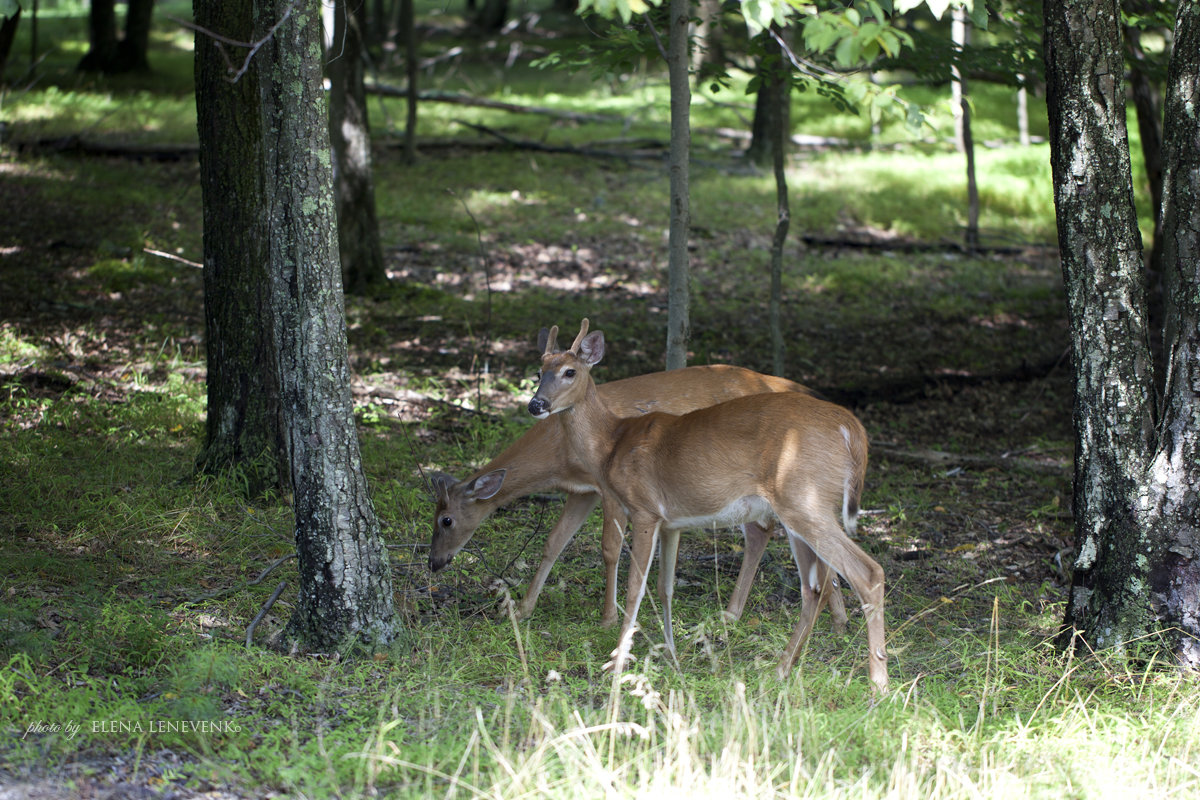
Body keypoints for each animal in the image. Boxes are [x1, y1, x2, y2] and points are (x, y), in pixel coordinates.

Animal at [427, 362, 849, 633]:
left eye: (446, 520)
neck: (558, 454)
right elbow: (554, 542)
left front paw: (609, 617)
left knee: (771, 532)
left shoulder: (608, 489)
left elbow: (610, 548)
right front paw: (521, 609)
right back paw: (831, 617)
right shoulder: (581, 492)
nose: (434, 563)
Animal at [530, 321, 888, 690]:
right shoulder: (670, 522)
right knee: (812, 587)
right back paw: (781, 670)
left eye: (570, 371)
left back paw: (878, 683)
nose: (536, 404)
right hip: (801, 508)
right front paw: (671, 655)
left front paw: (616, 662)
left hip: (805, 499)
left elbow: (635, 589)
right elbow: (665, 587)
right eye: (538, 372)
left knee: (867, 572)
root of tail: (852, 429)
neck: (612, 443)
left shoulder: (644, 509)